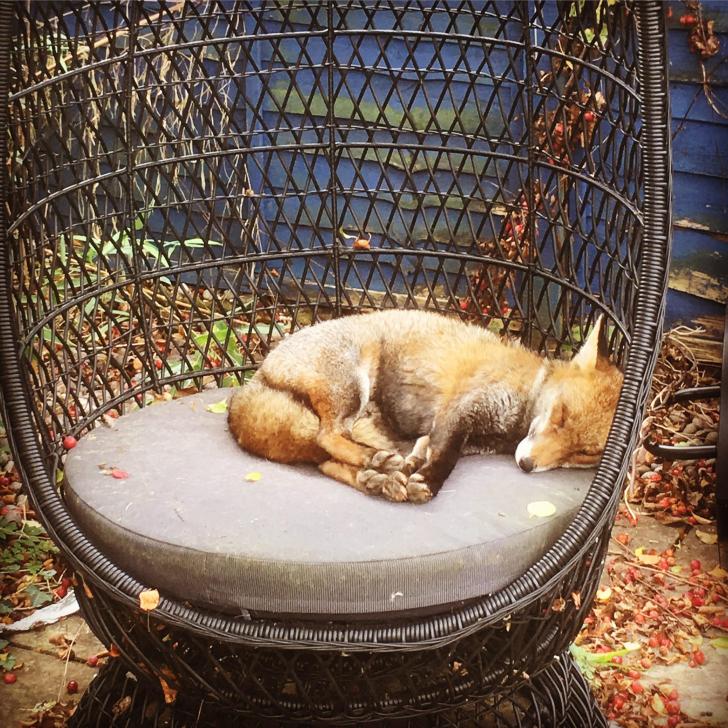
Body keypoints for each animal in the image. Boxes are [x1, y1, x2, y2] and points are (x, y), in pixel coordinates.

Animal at [227, 309, 623, 504]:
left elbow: (427, 449)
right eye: (560, 415)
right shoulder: (461, 409)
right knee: (327, 437)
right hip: (351, 389)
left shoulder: (464, 436)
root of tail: (255, 378)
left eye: (585, 452)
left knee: (325, 460)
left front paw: (413, 468)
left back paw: (377, 478)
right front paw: (428, 484)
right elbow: (446, 457)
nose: (526, 465)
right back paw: (374, 463)